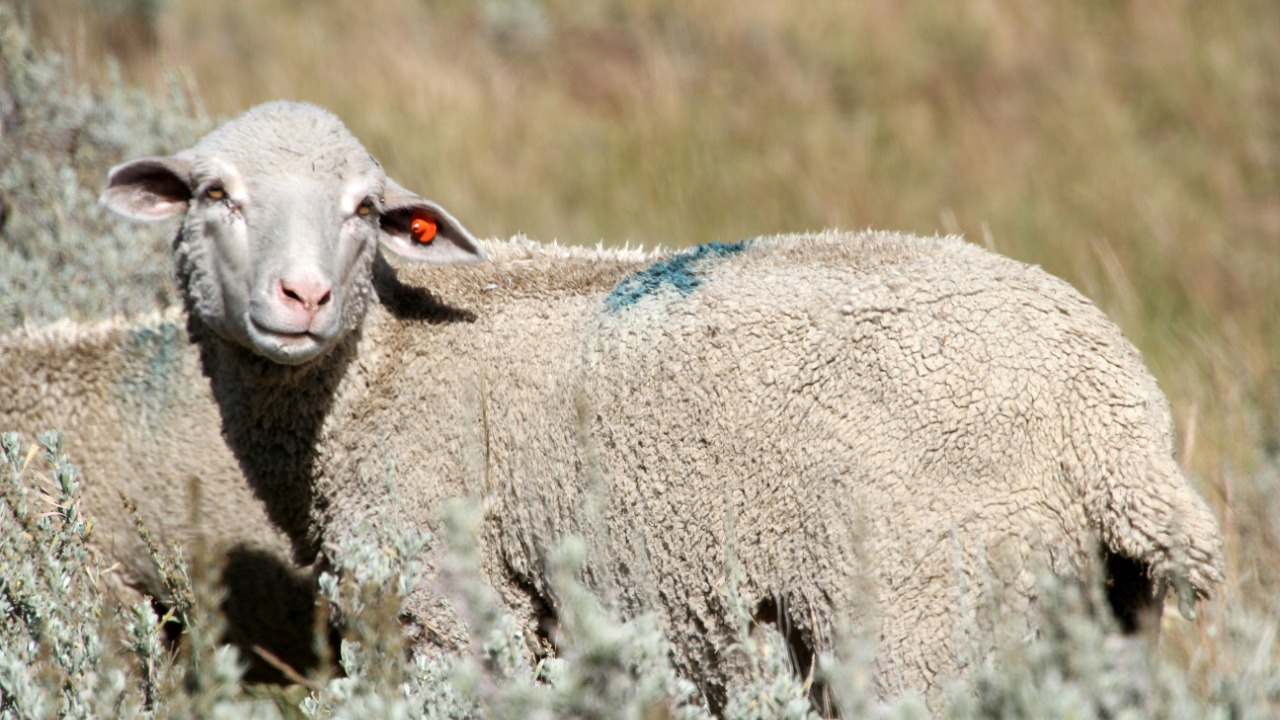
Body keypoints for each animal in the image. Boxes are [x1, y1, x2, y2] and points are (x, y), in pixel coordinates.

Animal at [98, 100, 1223, 709]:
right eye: (214, 196)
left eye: (365, 211)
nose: (303, 299)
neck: (382, 364)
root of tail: (1111, 414)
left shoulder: (452, 606)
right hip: (1103, 617)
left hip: (918, 621)